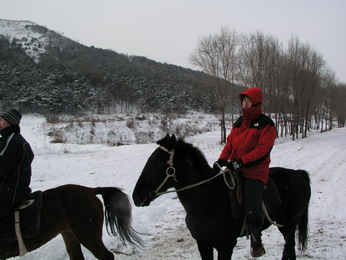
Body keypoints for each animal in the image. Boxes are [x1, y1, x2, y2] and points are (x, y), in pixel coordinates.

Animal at [132, 135, 310, 258]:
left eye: (157, 161)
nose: (136, 196)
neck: (208, 201)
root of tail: (298, 174)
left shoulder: (226, 245)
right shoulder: (203, 244)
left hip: (289, 226)